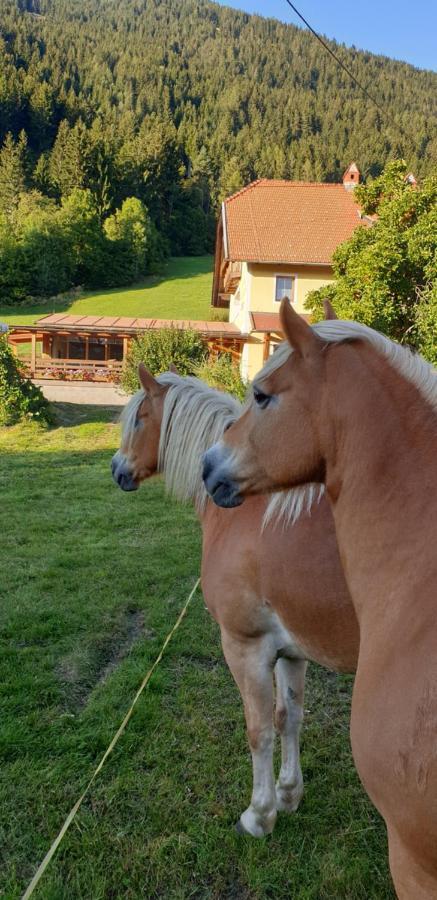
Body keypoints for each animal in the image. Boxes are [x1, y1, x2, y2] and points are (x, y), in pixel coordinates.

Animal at [111, 364, 358, 836]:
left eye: (137, 420)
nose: (116, 470)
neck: (248, 511)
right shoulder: (291, 651)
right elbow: (288, 717)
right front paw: (288, 794)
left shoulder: (246, 648)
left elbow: (258, 730)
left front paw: (259, 815)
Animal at [203, 302, 436, 900]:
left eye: (262, 395)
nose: (208, 466)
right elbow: (287, 717)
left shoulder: (412, 861)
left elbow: (262, 727)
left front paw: (260, 814)